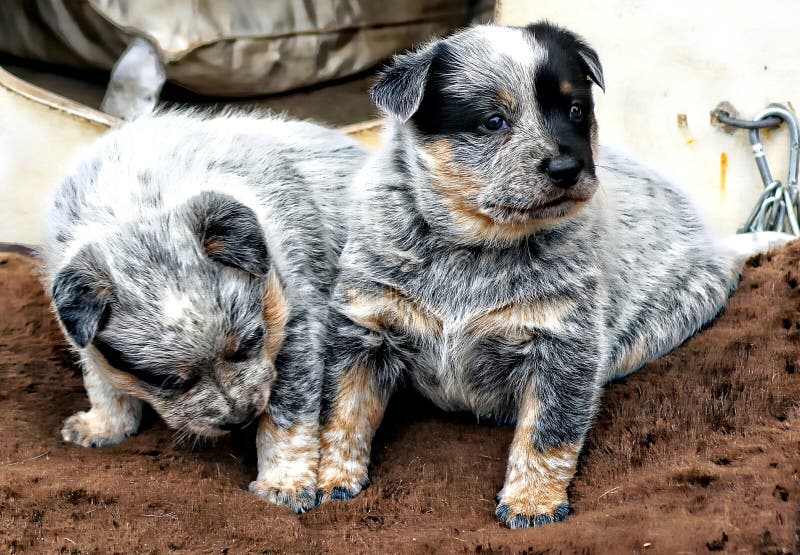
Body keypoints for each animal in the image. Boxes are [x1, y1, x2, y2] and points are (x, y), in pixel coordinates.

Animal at [42, 111, 368, 516]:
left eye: (251, 343)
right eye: (167, 381)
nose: (241, 419)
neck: (135, 206)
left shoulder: (299, 328)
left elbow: (286, 420)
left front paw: (284, 484)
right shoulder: (84, 338)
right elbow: (105, 384)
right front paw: (104, 426)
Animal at [314, 23, 764, 528]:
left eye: (576, 111)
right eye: (493, 121)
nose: (568, 167)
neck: (474, 248)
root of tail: (715, 245)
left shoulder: (564, 342)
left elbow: (548, 432)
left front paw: (531, 503)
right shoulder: (365, 325)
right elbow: (343, 413)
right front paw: (330, 480)